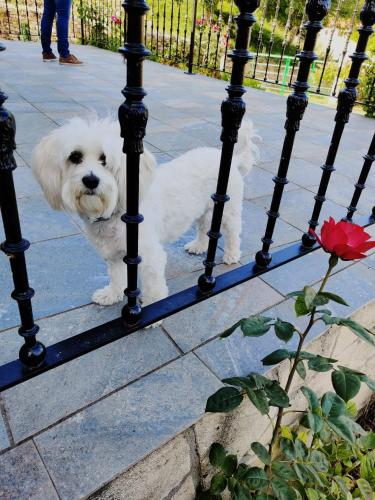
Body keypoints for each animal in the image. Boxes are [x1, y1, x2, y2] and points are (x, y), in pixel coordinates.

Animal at [32, 117, 258, 306]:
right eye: (75, 157)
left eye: (105, 160)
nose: (91, 180)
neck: (117, 211)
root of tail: (233, 160)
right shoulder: (114, 254)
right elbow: (116, 277)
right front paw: (111, 295)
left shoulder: (149, 256)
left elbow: (152, 285)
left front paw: (152, 309)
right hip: (203, 209)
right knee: (203, 227)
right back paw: (199, 246)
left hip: (227, 210)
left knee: (233, 232)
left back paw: (231, 254)